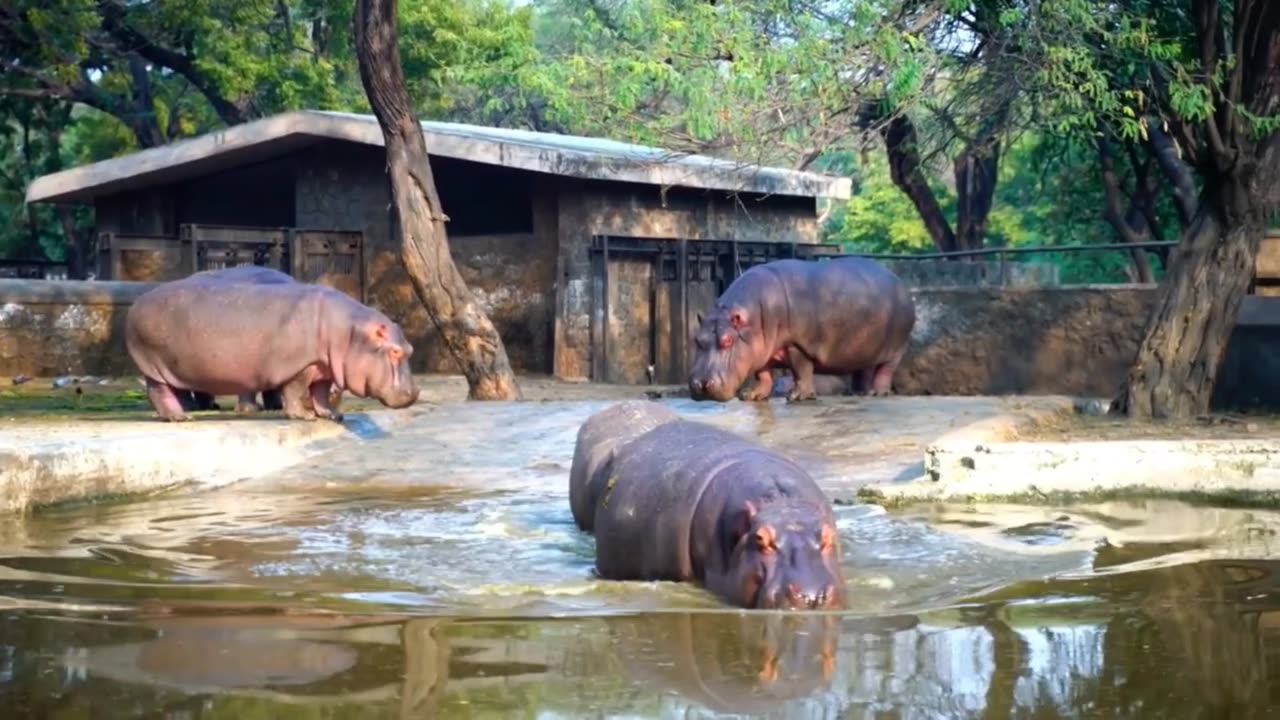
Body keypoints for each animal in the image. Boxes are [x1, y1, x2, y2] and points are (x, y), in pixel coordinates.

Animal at [124, 263, 417, 420]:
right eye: (394, 352)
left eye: (410, 349)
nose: (414, 394)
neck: (349, 331)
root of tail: (137, 303)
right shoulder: (301, 366)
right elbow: (295, 391)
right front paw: (302, 416)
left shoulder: (323, 366)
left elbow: (320, 392)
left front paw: (332, 415)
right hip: (154, 366)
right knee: (160, 392)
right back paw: (180, 416)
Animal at [686, 256, 916, 404]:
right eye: (697, 340)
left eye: (727, 340)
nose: (701, 384)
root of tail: (901, 283)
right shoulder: (762, 350)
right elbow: (763, 374)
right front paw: (752, 396)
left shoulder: (797, 345)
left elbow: (801, 370)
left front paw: (797, 397)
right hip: (865, 346)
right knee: (864, 368)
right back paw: (859, 393)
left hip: (896, 347)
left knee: (885, 369)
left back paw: (878, 393)